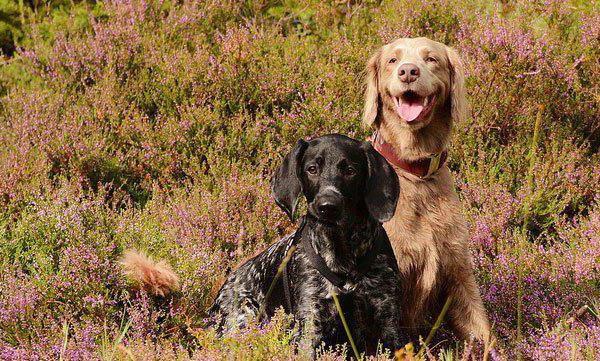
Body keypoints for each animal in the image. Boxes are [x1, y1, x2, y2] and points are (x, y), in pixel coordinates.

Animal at [209, 134, 406, 352]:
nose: (327, 206)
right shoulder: (311, 321)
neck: (341, 250)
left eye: (350, 171)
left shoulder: (387, 319)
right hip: (242, 317)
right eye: (312, 169)